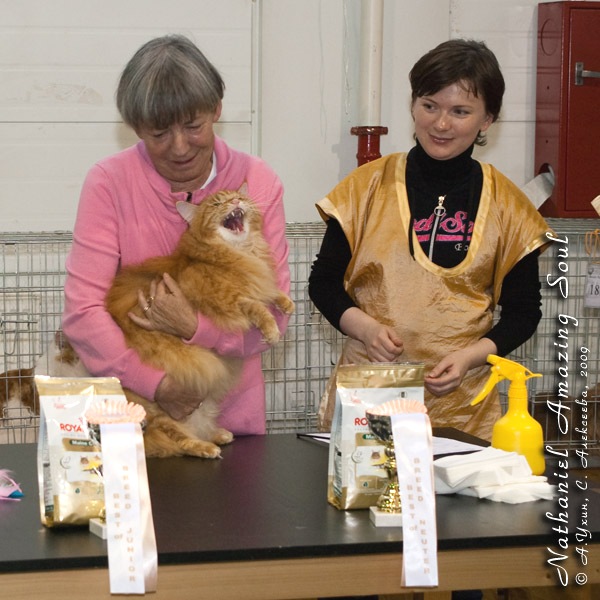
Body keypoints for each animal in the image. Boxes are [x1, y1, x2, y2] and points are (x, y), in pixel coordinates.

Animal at [106, 185, 296, 458]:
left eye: (240, 197)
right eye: (217, 204)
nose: (235, 201)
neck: (243, 251)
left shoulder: (258, 280)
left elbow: (269, 292)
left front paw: (285, 301)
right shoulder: (227, 299)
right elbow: (256, 306)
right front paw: (271, 330)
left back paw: (219, 434)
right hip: (157, 413)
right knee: (177, 439)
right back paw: (206, 448)